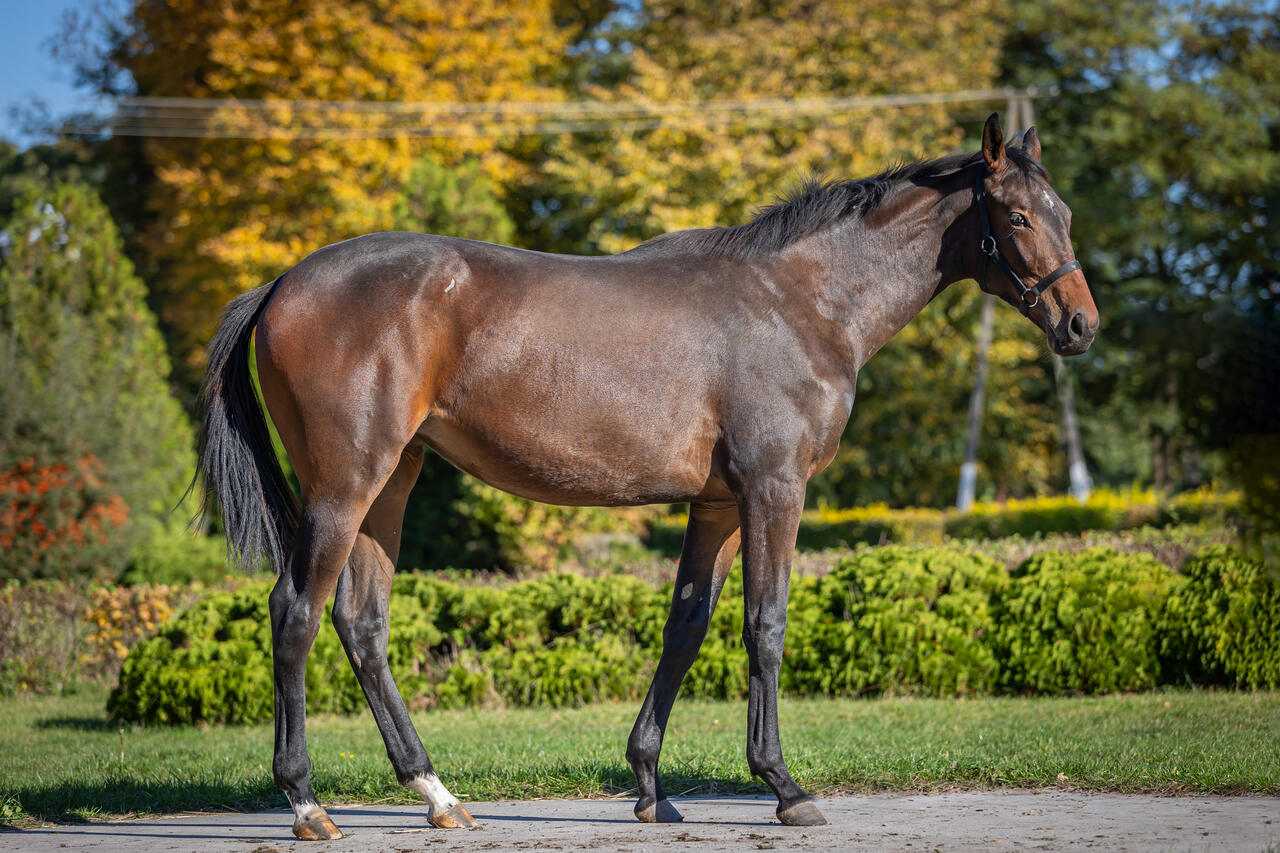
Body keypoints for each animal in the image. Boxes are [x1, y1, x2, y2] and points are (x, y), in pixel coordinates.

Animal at [195, 113, 1098, 839]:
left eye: (1065, 212)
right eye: (1018, 216)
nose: (1081, 324)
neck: (801, 299)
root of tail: (283, 282)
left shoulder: (718, 504)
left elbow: (686, 626)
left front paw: (650, 785)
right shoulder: (775, 489)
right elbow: (765, 626)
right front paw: (784, 785)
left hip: (392, 481)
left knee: (363, 624)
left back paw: (437, 794)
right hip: (344, 485)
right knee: (295, 613)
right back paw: (307, 803)